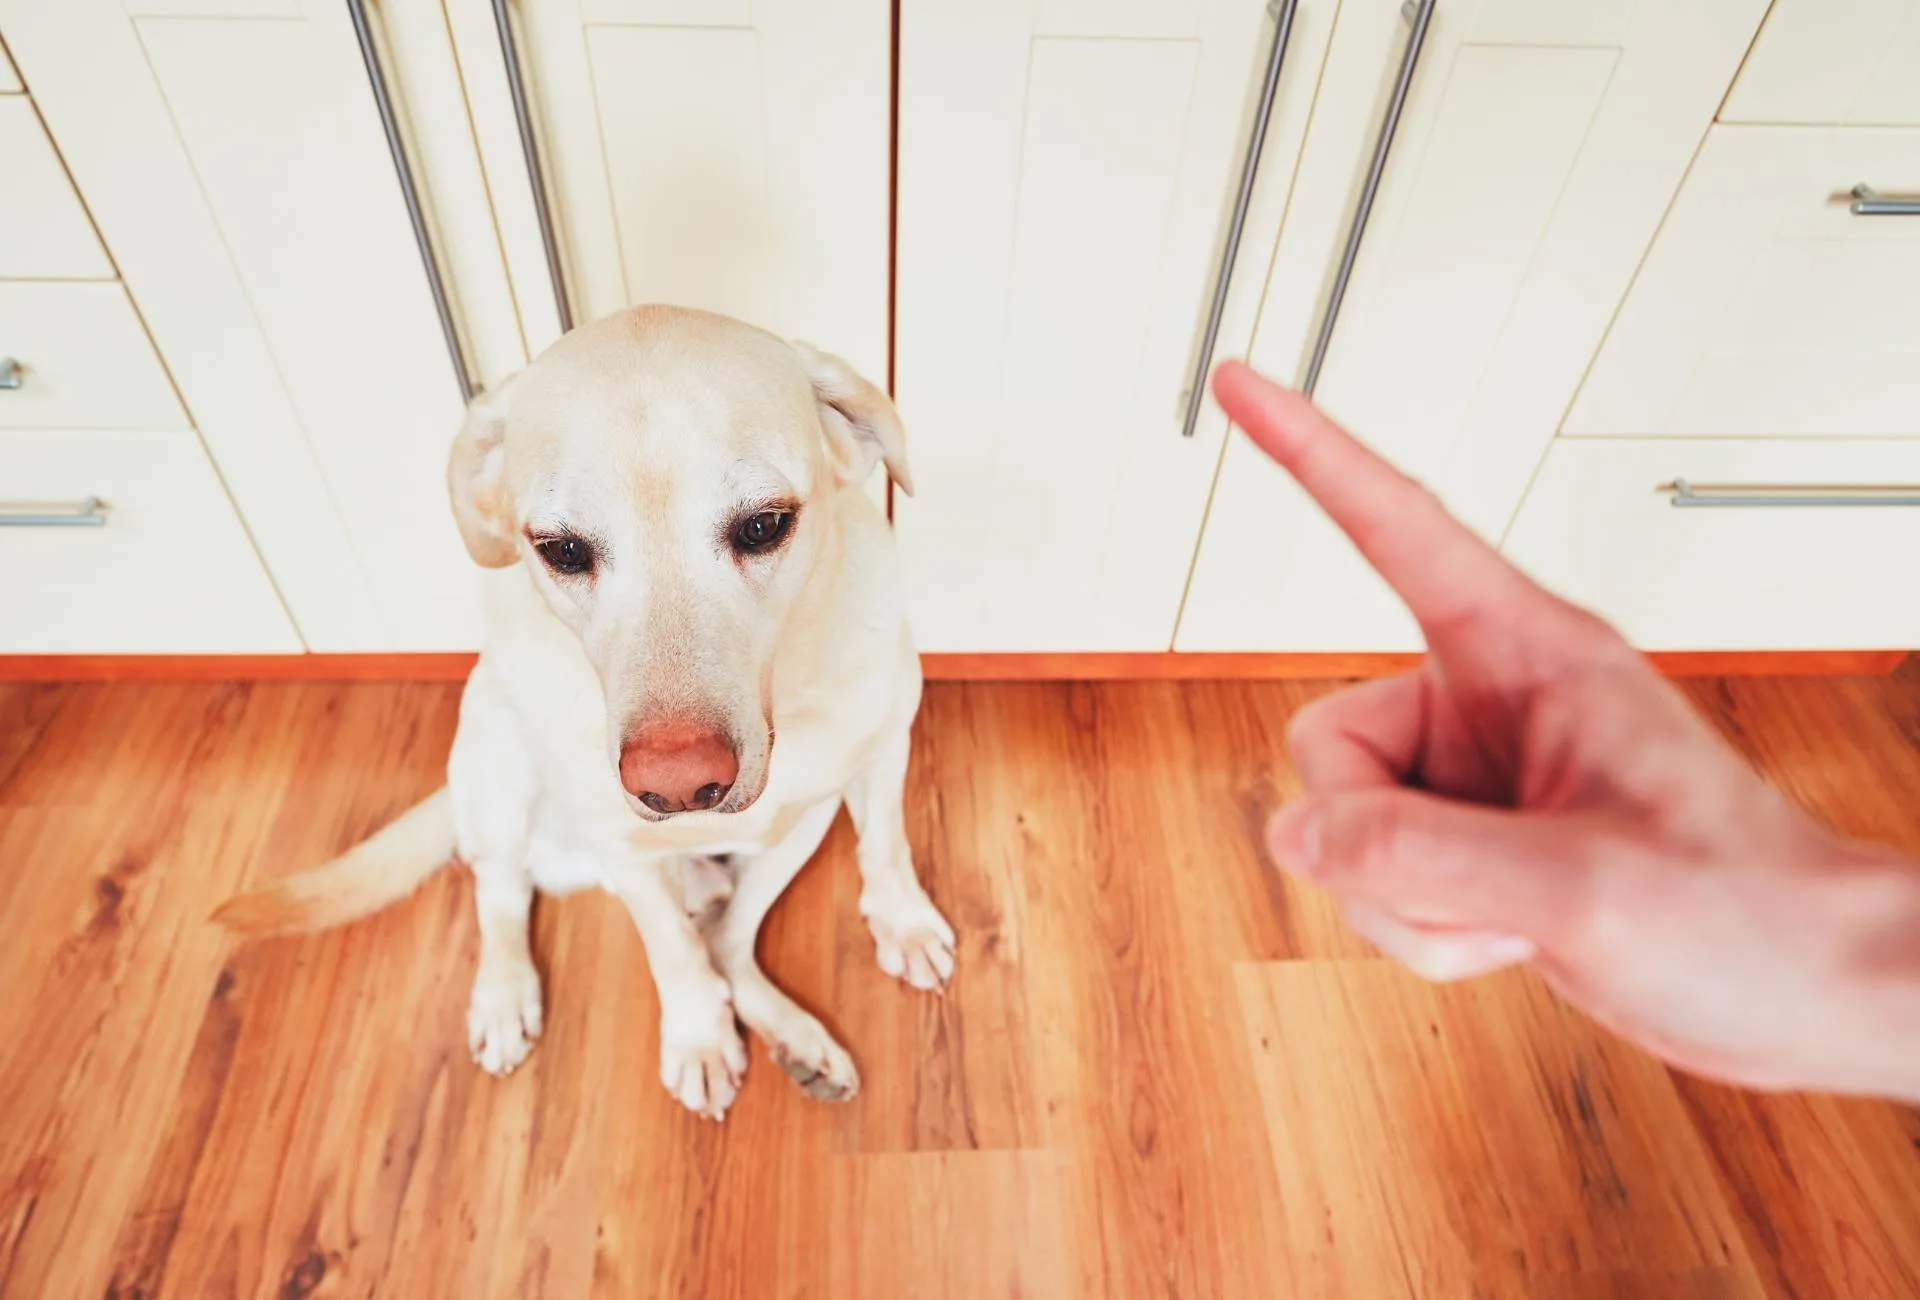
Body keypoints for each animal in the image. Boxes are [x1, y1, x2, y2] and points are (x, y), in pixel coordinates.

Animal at [217, 303, 952, 1113]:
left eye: (764, 525)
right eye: (562, 550)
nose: (677, 786)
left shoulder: (877, 754)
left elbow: (884, 846)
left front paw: (904, 923)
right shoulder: (620, 848)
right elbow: (670, 949)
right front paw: (698, 1037)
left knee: (726, 935)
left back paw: (789, 1030)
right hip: (496, 759)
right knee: (501, 892)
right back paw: (505, 996)